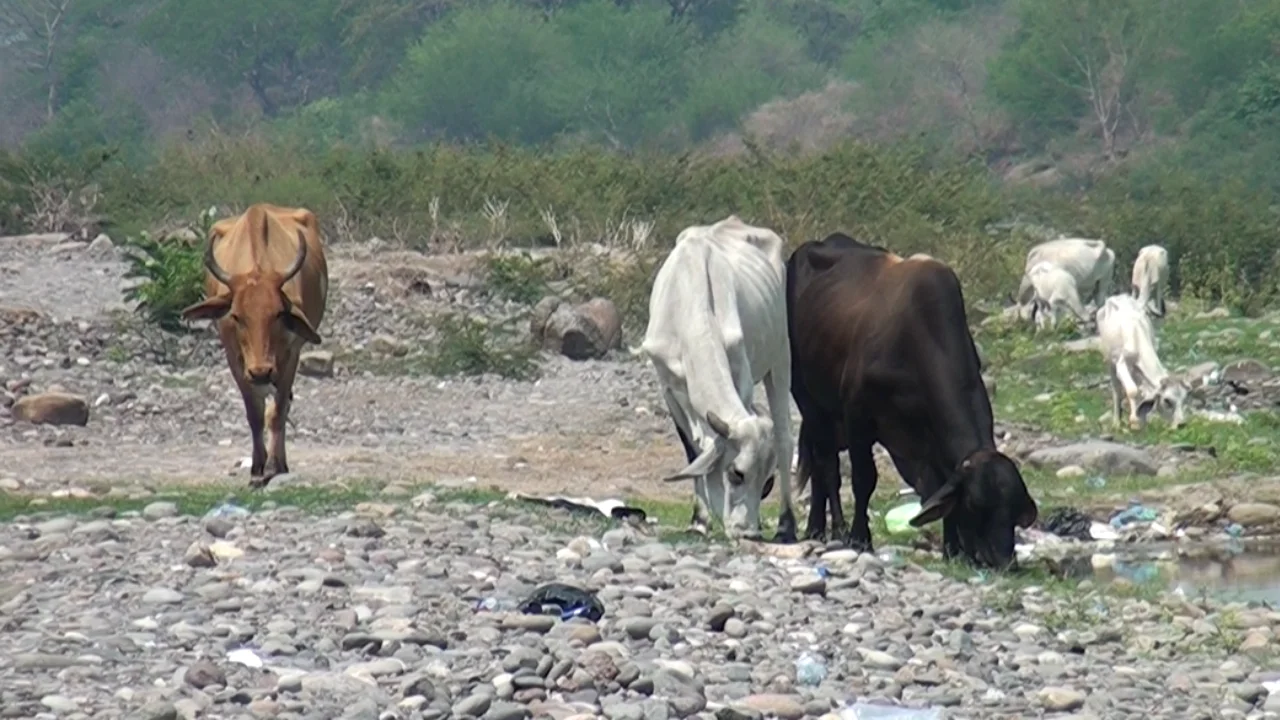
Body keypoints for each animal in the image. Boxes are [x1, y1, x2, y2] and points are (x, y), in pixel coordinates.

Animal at [181, 204, 329, 488]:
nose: (261, 371)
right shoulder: (235, 359)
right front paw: (257, 468)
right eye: (236, 316)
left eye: (278, 314)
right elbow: (255, 414)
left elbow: (277, 411)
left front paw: (272, 465)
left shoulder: (291, 355)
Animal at [642, 215, 797, 541]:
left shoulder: (743, 378)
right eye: (736, 473)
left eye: (767, 481)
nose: (748, 533)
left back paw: (786, 525)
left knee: (785, 437)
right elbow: (694, 450)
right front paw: (700, 519)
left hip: (781, 357)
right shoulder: (668, 386)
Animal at [788, 233, 1038, 568]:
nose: (1003, 560)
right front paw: (860, 538)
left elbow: (942, 483)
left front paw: (951, 548)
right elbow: (863, 479)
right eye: (975, 505)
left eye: (1013, 508)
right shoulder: (857, 415)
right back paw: (826, 528)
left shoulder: (934, 442)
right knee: (825, 464)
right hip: (809, 400)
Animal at [1096, 293, 1188, 430]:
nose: (1181, 424)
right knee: (1116, 389)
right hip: (1109, 361)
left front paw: (1141, 419)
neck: (1138, 336)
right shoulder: (1121, 364)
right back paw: (1117, 421)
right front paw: (1134, 420)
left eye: (1183, 398)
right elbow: (1132, 390)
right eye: (1167, 400)